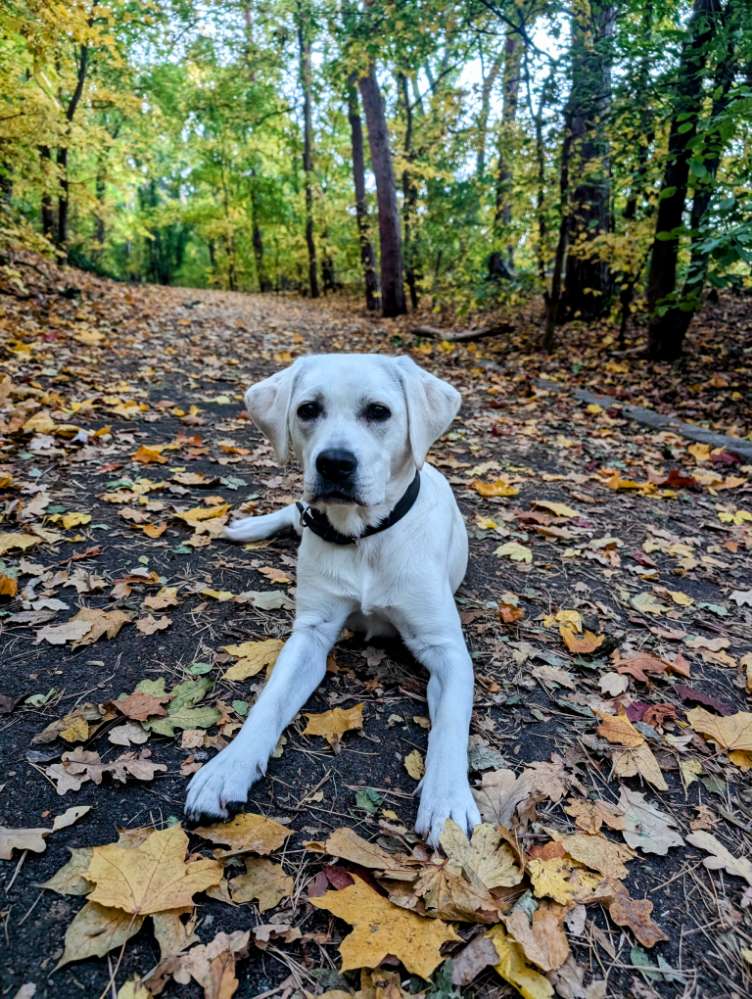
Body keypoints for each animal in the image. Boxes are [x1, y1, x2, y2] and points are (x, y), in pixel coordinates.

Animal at [188, 352, 482, 844]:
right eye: (308, 409)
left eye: (379, 412)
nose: (335, 464)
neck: (364, 536)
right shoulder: (311, 633)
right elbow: (269, 702)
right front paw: (227, 768)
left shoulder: (446, 649)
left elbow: (450, 727)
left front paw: (447, 801)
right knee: (294, 512)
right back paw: (251, 526)